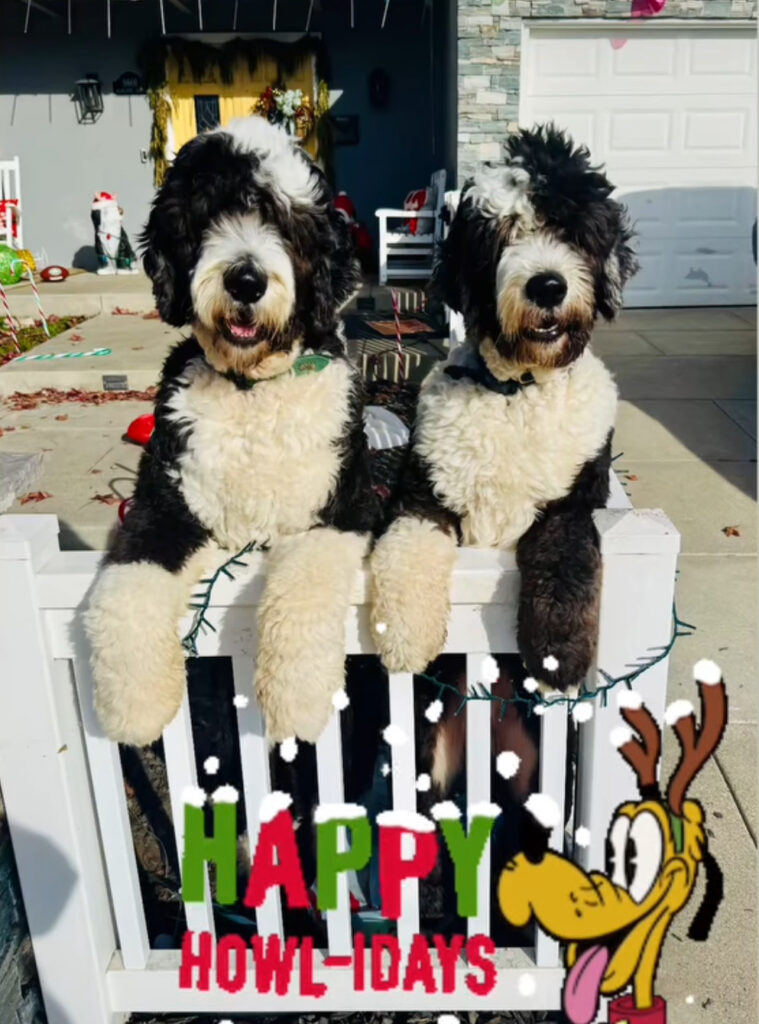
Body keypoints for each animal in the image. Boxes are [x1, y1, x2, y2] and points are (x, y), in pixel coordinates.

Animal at [86, 117, 376, 745]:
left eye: (287, 224)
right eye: (206, 215)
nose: (245, 280)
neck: (250, 392)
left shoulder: (338, 509)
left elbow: (303, 588)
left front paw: (295, 698)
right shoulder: (165, 506)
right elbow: (127, 583)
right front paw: (134, 703)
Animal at [370, 123, 635, 708]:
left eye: (571, 232)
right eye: (503, 233)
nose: (548, 285)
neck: (517, 392)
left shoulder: (573, 500)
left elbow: (566, 557)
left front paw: (557, 656)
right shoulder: (424, 491)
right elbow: (407, 547)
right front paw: (402, 633)